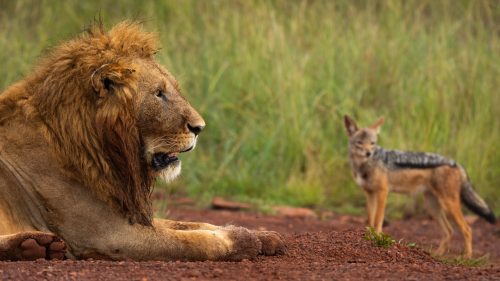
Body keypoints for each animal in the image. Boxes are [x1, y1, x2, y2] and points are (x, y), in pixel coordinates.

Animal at [0, 21, 284, 260]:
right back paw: (35, 245)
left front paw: (263, 235)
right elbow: (189, 241)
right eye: (158, 94)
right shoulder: (105, 235)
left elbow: (192, 223)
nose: (200, 127)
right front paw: (242, 240)